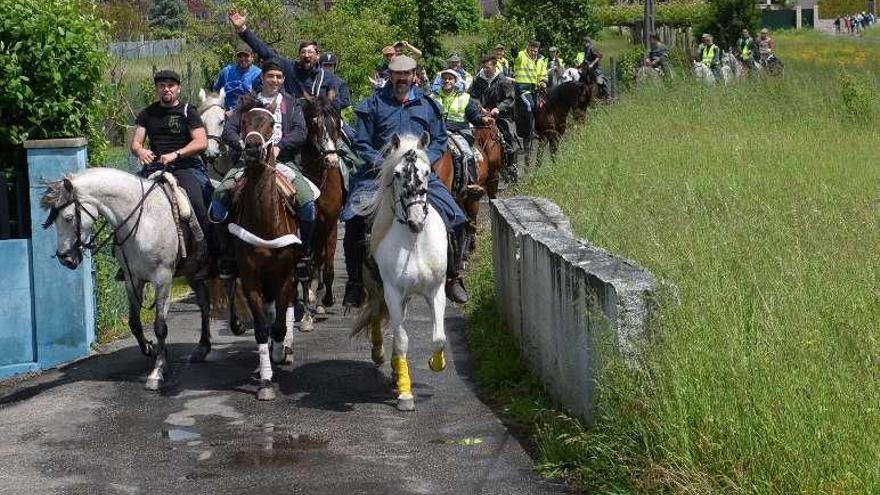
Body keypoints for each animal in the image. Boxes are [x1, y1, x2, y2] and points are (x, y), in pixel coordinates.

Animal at [41, 168, 218, 392]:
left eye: (68, 217)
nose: (65, 259)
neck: (144, 222)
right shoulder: (132, 279)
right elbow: (134, 323)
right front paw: (151, 350)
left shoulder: (163, 279)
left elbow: (160, 326)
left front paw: (157, 372)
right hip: (192, 273)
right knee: (204, 302)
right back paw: (202, 348)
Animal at [350, 134, 446, 412]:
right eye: (398, 174)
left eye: (426, 172)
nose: (416, 221)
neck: (414, 241)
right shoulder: (392, 292)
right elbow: (402, 340)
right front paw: (405, 394)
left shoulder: (436, 291)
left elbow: (439, 338)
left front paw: (436, 363)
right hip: (375, 287)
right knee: (375, 314)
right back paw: (380, 354)